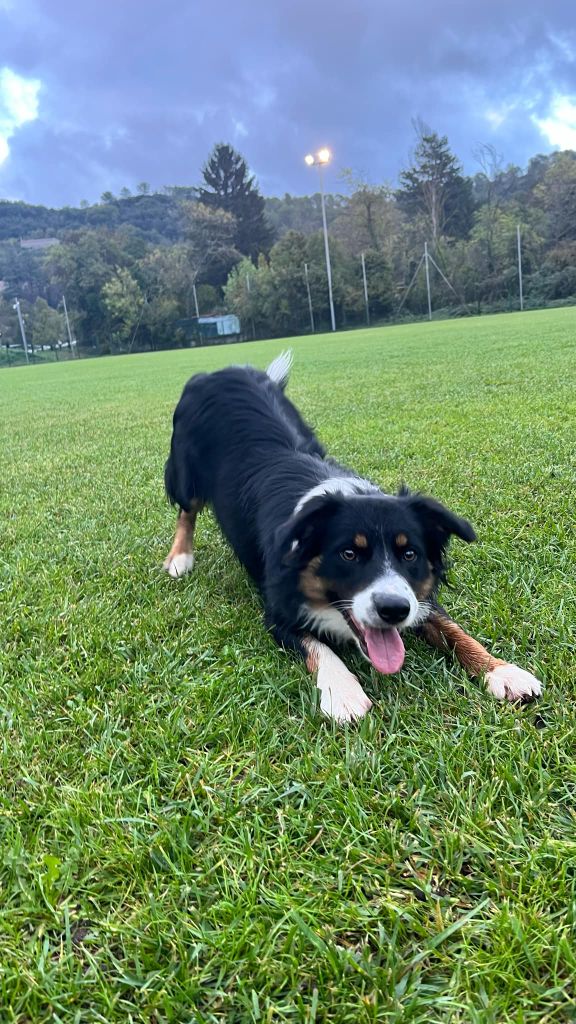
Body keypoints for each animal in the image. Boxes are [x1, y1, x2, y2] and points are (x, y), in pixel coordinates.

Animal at [162, 352, 541, 720]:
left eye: (409, 554)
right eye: (348, 554)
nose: (394, 610)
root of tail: (222, 370)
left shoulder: (418, 598)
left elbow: (455, 631)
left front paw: (502, 671)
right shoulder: (277, 611)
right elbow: (318, 645)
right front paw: (342, 692)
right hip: (186, 471)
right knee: (186, 510)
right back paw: (180, 557)